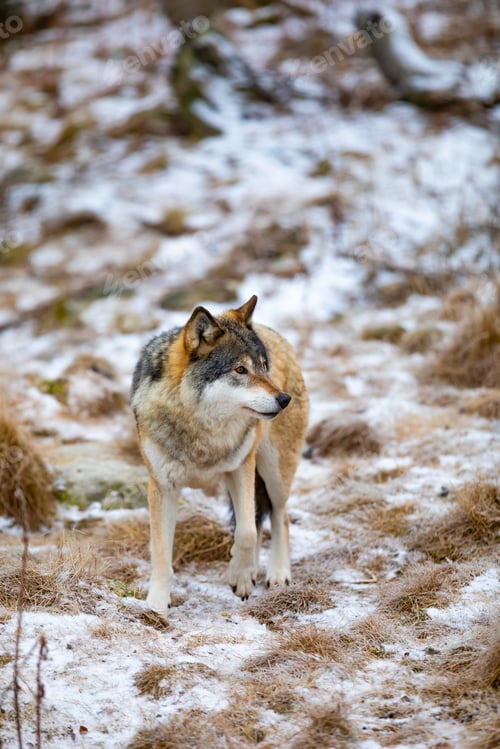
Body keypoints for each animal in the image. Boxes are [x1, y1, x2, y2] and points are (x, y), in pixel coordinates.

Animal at [131, 295, 309, 615]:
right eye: (240, 370)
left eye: (264, 366)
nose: (284, 399)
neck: (204, 433)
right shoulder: (162, 487)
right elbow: (161, 554)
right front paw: (156, 605)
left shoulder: (241, 468)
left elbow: (247, 532)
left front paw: (239, 576)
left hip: (274, 473)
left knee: (279, 517)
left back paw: (277, 574)